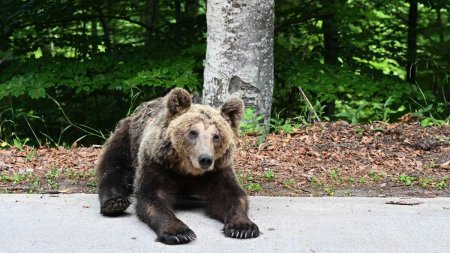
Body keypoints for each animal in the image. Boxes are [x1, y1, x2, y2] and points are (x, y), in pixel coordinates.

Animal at [96, 88, 260, 244]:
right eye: (193, 132)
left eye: (216, 136)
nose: (205, 159)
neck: (187, 170)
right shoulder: (157, 164)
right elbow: (153, 197)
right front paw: (179, 233)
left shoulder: (217, 170)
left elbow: (231, 194)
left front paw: (243, 228)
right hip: (127, 140)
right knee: (115, 168)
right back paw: (115, 203)